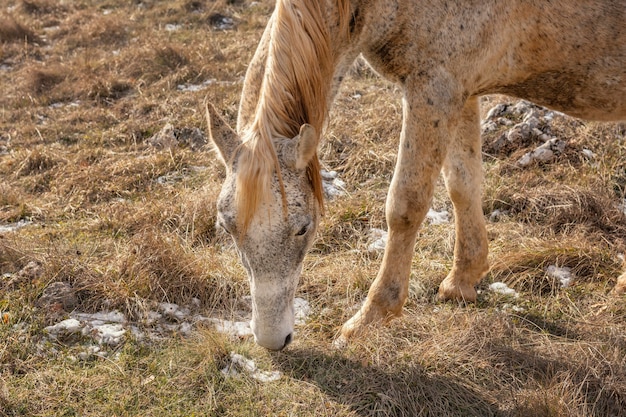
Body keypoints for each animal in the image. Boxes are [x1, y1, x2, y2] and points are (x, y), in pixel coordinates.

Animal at [206, 0, 624, 350]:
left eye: (304, 228)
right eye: (227, 227)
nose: (272, 340)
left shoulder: (434, 89)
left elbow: (405, 205)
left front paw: (371, 317)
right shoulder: (461, 92)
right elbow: (463, 184)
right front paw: (462, 281)